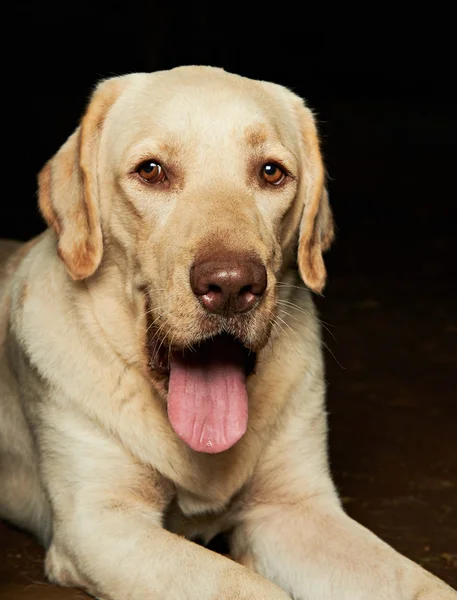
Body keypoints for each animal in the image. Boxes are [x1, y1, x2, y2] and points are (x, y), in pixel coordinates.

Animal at [1, 65, 454, 600]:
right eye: (151, 171)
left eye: (271, 172)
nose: (232, 285)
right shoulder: (100, 523)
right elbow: (248, 588)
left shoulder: (292, 509)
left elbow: (418, 583)